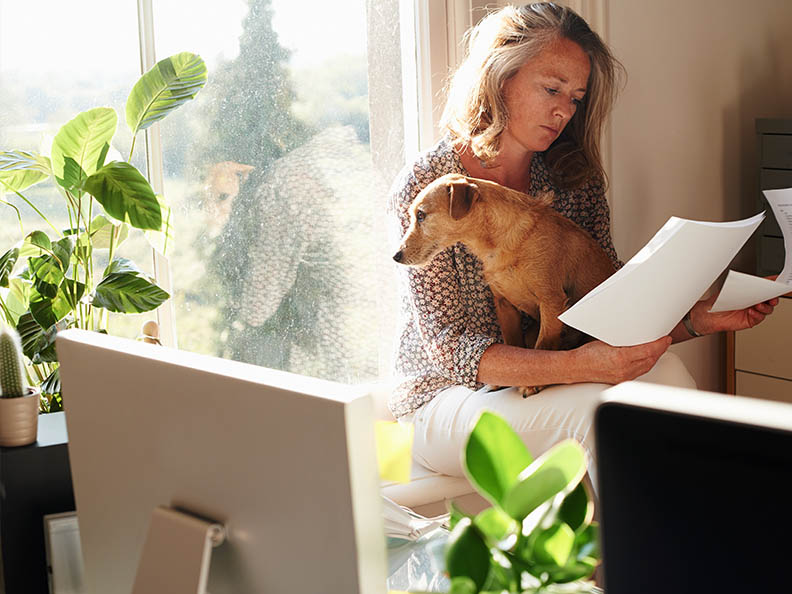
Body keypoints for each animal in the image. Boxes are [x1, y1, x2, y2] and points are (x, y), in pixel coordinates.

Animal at [392, 171, 616, 390]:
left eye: (421, 215)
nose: (395, 256)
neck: (495, 244)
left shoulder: (551, 301)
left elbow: (542, 346)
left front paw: (532, 385)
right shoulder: (504, 305)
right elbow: (515, 344)